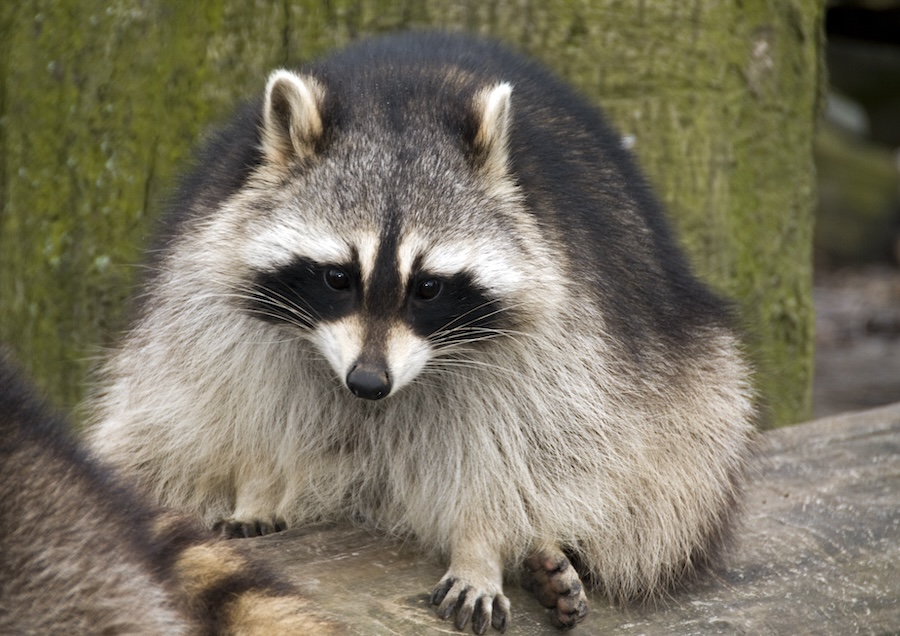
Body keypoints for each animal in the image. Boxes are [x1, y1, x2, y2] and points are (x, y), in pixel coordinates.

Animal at [87, 32, 755, 633]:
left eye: (428, 288)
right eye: (337, 278)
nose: (367, 383)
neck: (400, 100)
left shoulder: (563, 331)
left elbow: (526, 447)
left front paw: (483, 545)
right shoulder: (209, 284)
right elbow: (240, 402)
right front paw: (258, 484)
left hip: (687, 393)